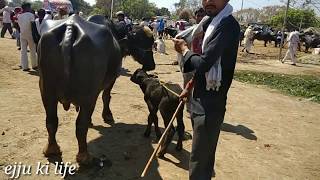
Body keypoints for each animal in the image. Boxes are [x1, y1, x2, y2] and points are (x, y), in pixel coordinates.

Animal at [38, 14, 156, 165]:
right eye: (142, 41)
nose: (152, 65)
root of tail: (70, 27)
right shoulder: (112, 78)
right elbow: (106, 97)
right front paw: (108, 115)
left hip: (46, 92)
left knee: (51, 121)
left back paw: (51, 149)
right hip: (88, 96)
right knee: (80, 126)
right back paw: (84, 157)